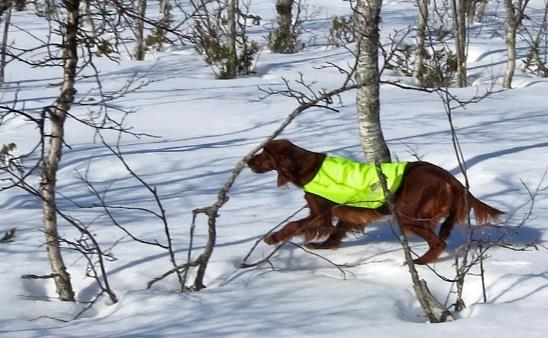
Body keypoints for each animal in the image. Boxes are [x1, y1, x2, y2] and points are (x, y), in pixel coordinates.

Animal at [246, 139, 504, 264]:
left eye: (264, 154)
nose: (248, 161)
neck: (306, 167)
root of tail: (450, 178)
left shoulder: (320, 214)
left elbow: (294, 225)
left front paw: (273, 238)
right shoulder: (346, 213)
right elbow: (337, 232)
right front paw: (324, 247)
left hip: (408, 217)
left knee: (438, 243)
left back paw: (420, 262)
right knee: (442, 236)